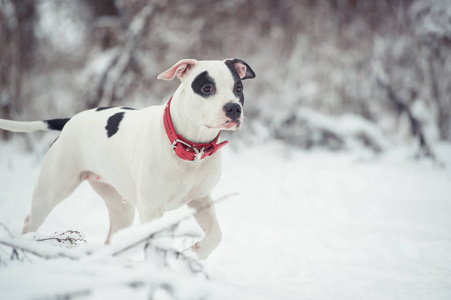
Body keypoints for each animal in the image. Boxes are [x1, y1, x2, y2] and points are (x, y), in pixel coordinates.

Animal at [0, 59, 254, 260]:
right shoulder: (152, 210)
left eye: (238, 88)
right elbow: (153, 244)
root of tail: (70, 120)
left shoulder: (201, 200)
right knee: (30, 222)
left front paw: (195, 252)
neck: (191, 148)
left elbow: (216, 234)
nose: (233, 108)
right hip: (51, 191)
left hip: (120, 208)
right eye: (207, 87)